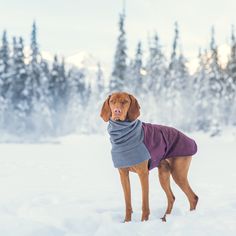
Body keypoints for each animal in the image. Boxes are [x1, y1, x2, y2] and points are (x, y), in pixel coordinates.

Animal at [100, 92, 199, 223]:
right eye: (112, 101)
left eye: (125, 101)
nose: (116, 111)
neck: (123, 133)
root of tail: (190, 139)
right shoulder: (123, 174)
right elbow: (128, 202)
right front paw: (127, 222)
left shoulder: (143, 174)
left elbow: (145, 203)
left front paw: (143, 222)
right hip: (163, 174)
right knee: (171, 197)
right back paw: (165, 218)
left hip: (178, 173)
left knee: (193, 197)